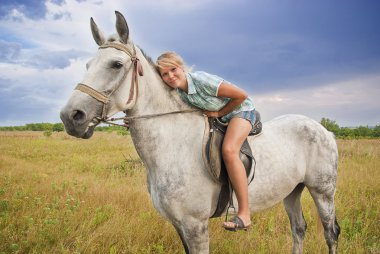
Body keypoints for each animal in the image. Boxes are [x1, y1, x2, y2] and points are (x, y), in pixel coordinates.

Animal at [60, 10, 342, 253]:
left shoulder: (195, 225)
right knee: (299, 228)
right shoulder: (179, 225)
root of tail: (324, 131)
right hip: (293, 190)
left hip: (323, 192)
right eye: (87, 65)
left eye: (116, 64)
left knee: (330, 233)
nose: (70, 117)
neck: (171, 145)